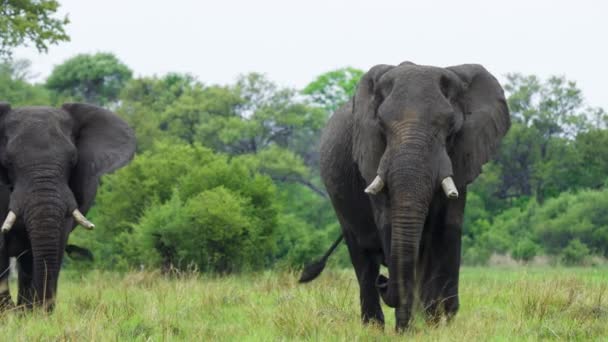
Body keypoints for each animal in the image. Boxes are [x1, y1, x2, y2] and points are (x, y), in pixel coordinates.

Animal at [302, 62, 510, 330]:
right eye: (381, 126)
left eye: (450, 129)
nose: (384, 281)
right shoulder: (371, 158)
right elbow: (389, 224)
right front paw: (409, 328)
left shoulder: (461, 157)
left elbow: (447, 227)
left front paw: (438, 322)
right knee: (361, 255)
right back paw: (374, 326)